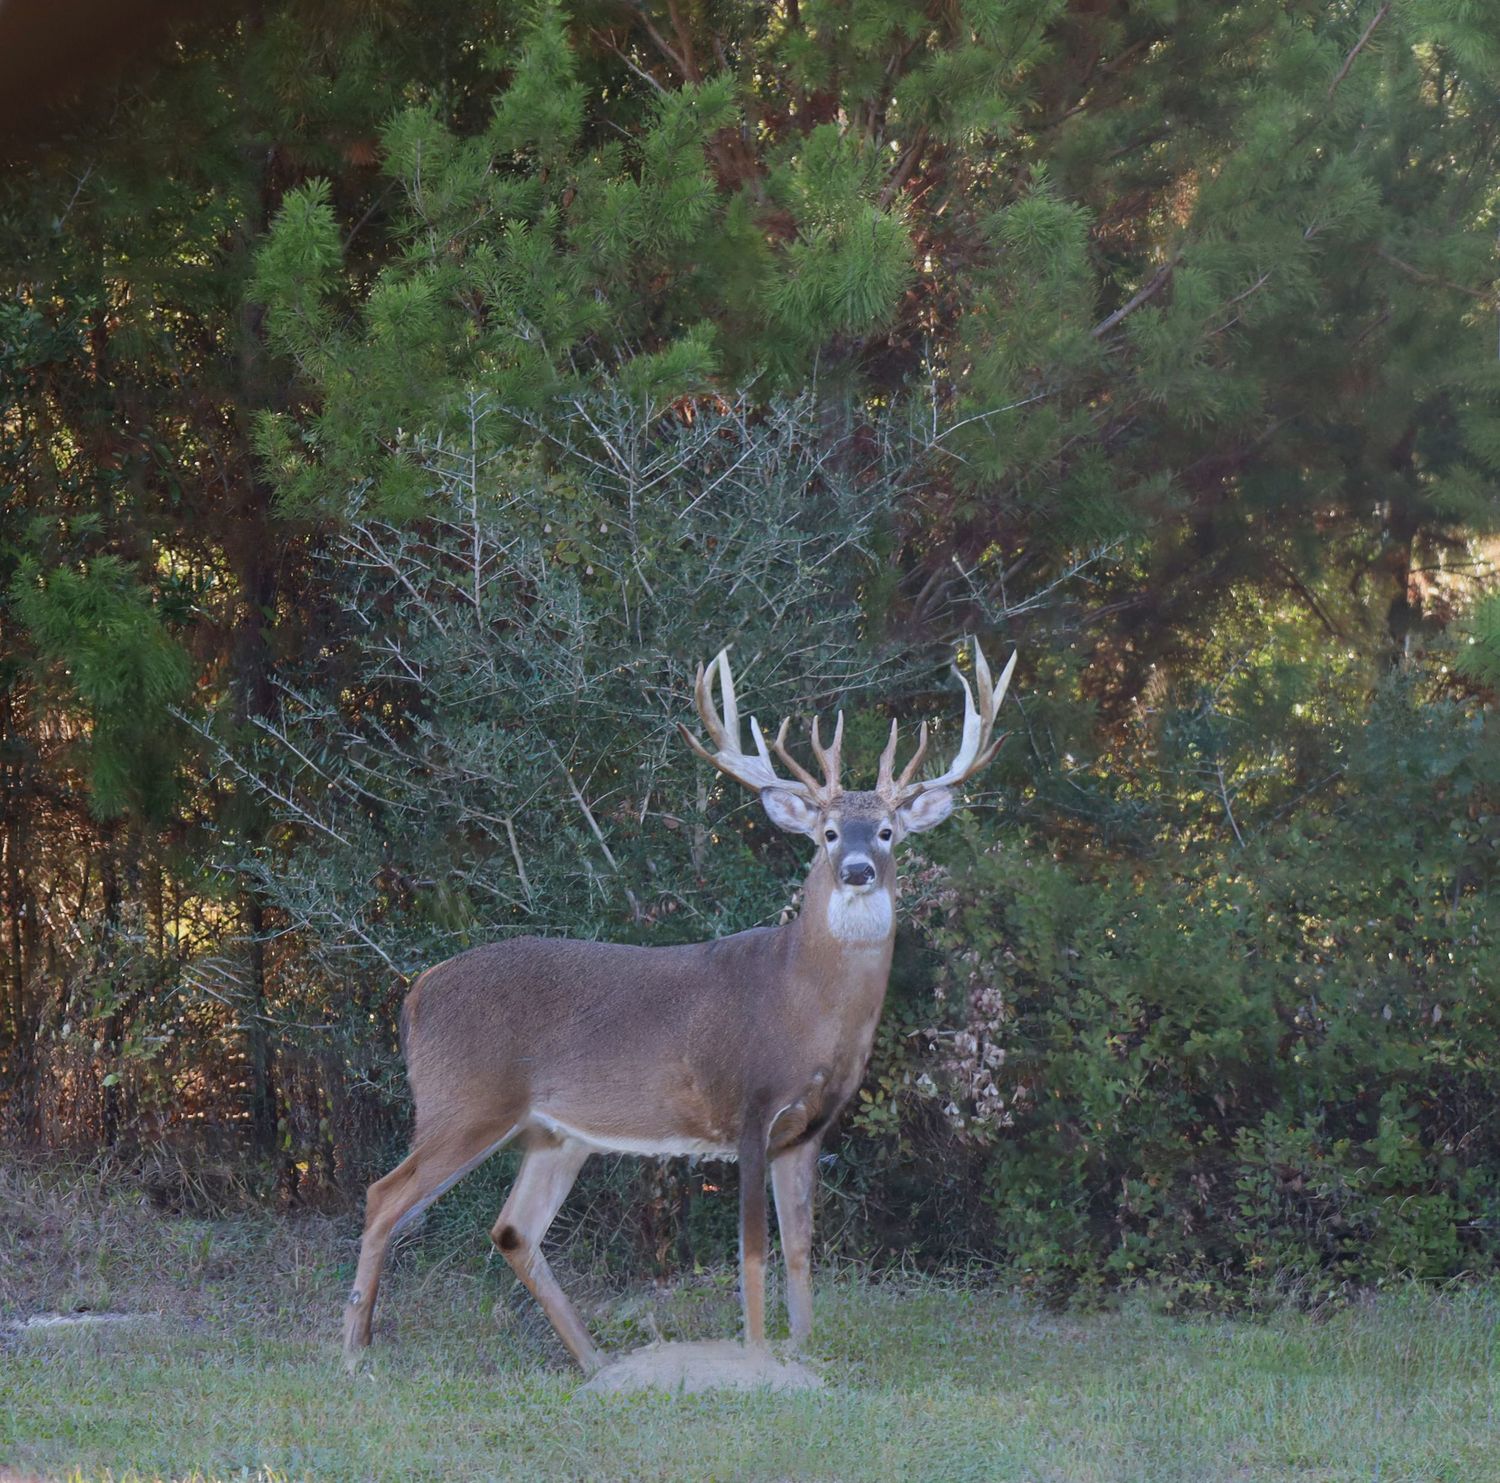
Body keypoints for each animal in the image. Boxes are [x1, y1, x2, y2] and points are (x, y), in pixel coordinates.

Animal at [341, 640, 1016, 1375]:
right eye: (830, 832)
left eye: (889, 831)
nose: (859, 870)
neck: (804, 1002)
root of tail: (417, 991)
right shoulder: (749, 1106)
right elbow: (753, 1253)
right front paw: (757, 1358)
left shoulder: (808, 1129)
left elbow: (801, 1252)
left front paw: (804, 1352)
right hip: (463, 1102)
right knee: (383, 1196)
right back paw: (354, 1351)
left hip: (552, 1133)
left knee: (513, 1228)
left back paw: (597, 1363)